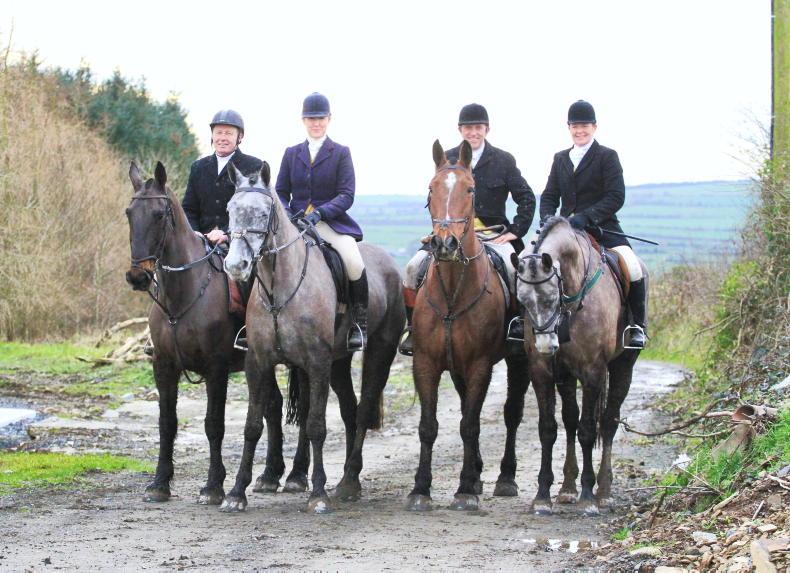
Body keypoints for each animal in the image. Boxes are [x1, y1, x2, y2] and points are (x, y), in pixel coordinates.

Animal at [125, 161, 244, 505]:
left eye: (158, 215)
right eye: (128, 213)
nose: (137, 276)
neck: (183, 293)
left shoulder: (217, 369)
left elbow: (214, 424)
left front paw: (214, 486)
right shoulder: (163, 366)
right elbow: (167, 422)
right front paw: (159, 483)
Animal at [220, 163, 405, 514]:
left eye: (262, 213)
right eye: (230, 210)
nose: (236, 265)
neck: (279, 287)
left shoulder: (317, 363)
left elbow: (316, 424)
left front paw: (317, 494)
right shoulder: (258, 362)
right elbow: (253, 425)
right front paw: (236, 493)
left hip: (379, 353)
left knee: (363, 409)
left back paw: (348, 482)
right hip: (339, 362)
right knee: (349, 409)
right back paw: (348, 479)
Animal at [406, 140, 530, 512]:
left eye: (470, 188)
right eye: (431, 188)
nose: (444, 244)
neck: (452, 292)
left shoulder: (479, 365)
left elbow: (470, 425)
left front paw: (463, 490)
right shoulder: (426, 363)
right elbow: (429, 426)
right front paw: (421, 488)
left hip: (518, 362)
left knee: (511, 414)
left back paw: (504, 478)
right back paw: (476, 474)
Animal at [513, 216, 647, 515]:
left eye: (552, 297)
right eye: (522, 301)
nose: (546, 345)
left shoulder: (592, 372)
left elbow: (587, 430)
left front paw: (588, 496)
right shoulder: (542, 371)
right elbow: (549, 429)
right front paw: (543, 496)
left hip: (623, 367)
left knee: (608, 422)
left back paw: (604, 491)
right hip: (565, 375)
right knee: (570, 420)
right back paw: (567, 489)